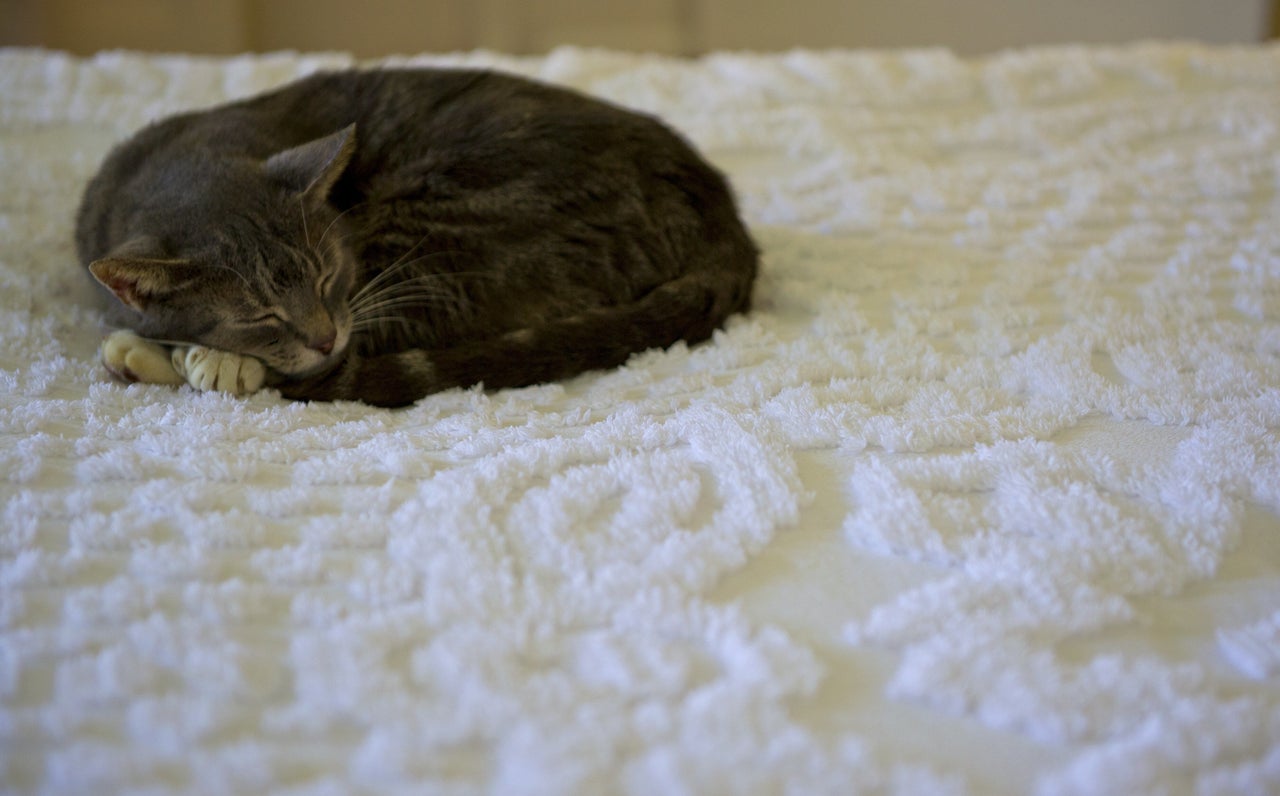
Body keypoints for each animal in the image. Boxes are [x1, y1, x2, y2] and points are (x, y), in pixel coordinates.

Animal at [74, 66, 752, 409]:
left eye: (327, 276)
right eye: (258, 314)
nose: (322, 335)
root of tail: (726, 223)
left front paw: (209, 358)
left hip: (445, 227)